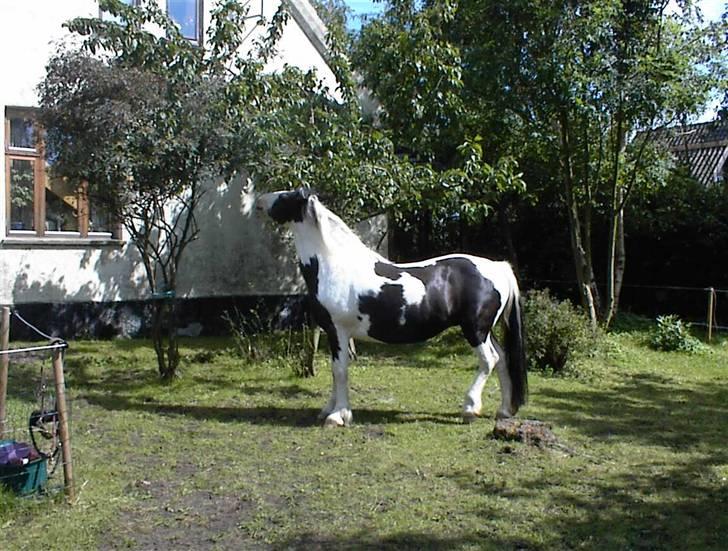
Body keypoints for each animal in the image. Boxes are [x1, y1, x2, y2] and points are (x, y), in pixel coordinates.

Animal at [253, 192, 528, 430]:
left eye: (285, 196)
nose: (259, 202)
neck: (334, 265)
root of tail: (498, 267)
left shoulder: (338, 331)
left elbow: (340, 371)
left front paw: (338, 416)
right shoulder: (333, 333)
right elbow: (335, 371)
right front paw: (329, 409)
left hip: (474, 329)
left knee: (489, 360)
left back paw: (470, 409)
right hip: (485, 329)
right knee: (502, 359)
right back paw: (504, 410)